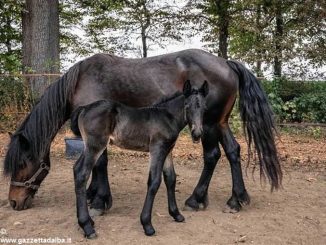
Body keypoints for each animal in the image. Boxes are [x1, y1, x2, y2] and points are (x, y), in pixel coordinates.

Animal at [3, 48, 282, 214]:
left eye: (22, 163)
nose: (14, 202)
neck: (81, 81)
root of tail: (226, 62)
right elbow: (96, 165)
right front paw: (93, 194)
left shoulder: (98, 133)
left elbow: (100, 164)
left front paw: (100, 201)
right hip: (220, 122)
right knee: (234, 151)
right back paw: (237, 199)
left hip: (209, 124)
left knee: (212, 156)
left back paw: (196, 199)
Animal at [71, 80, 209, 237]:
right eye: (187, 106)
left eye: (204, 108)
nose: (197, 134)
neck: (167, 117)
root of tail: (84, 108)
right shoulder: (157, 149)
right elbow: (154, 182)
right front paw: (147, 224)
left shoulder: (168, 151)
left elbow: (171, 179)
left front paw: (176, 214)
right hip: (95, 146)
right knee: (82, 173)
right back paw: (87, 227)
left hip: (88, 146)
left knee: (76, 168)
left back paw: (88, 222)